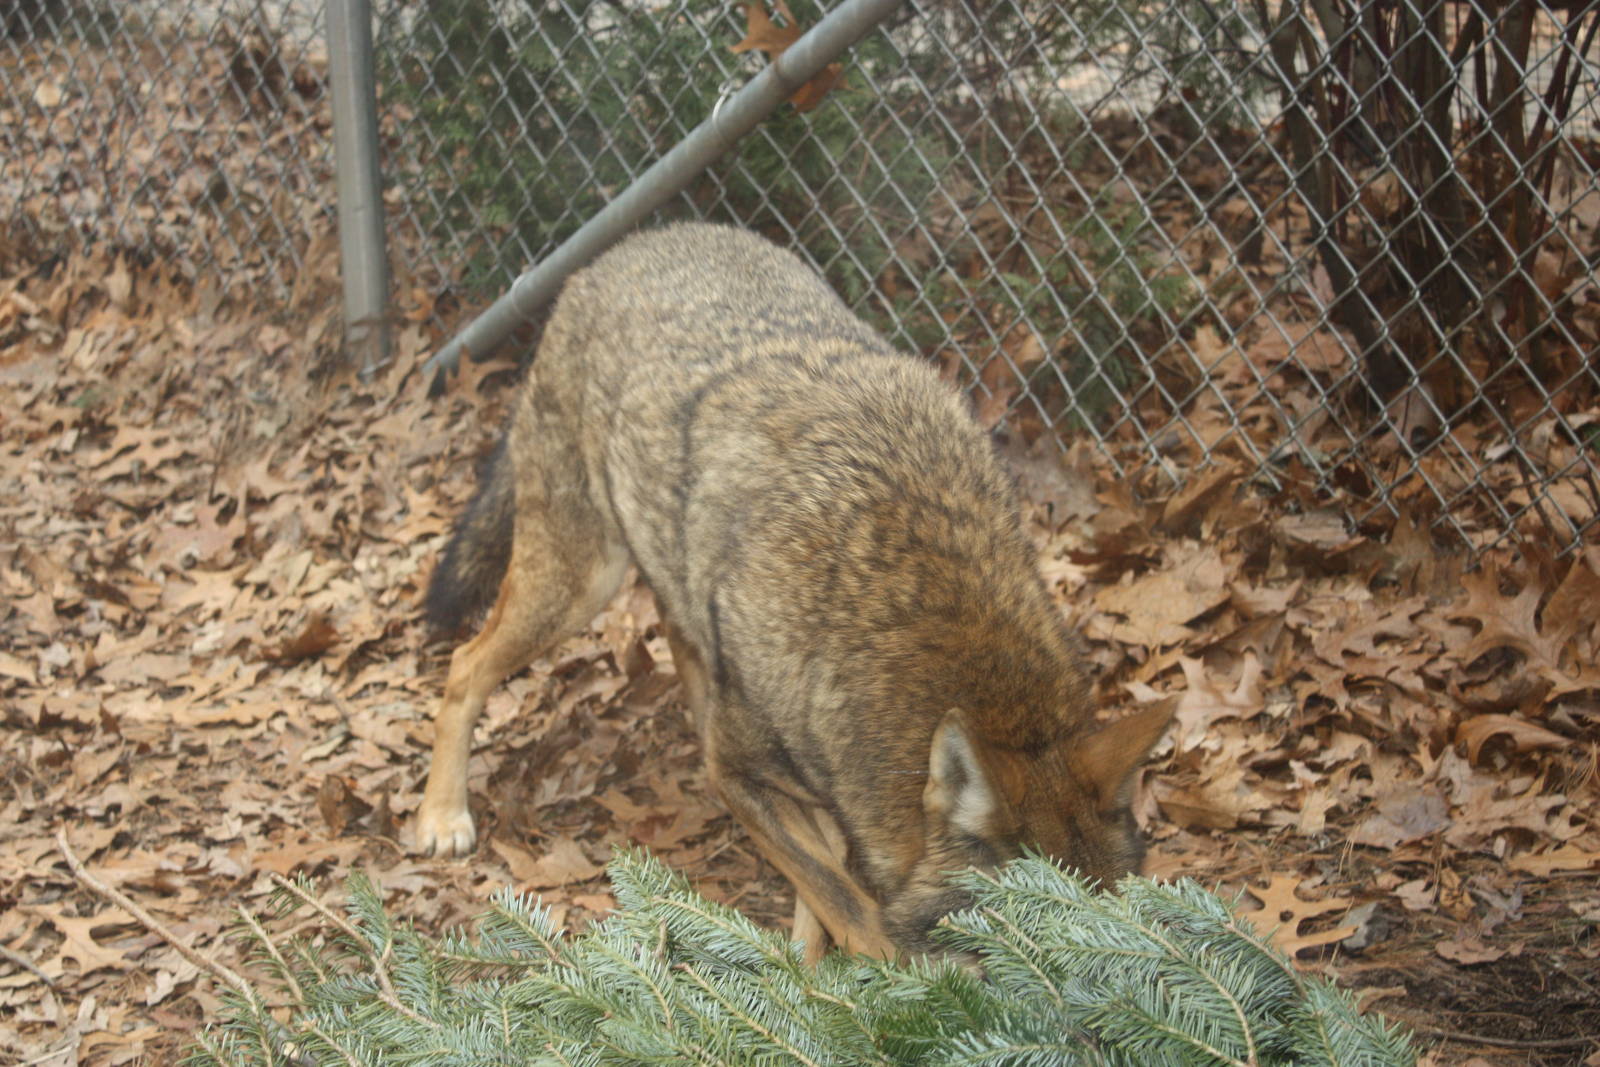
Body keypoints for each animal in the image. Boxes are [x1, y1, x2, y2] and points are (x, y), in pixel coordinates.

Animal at [416, 223, 1171, 959]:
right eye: (1039, 948)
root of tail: (605, 258)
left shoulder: (825, 798)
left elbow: (821, 903)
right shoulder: (742, 778)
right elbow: (852, 911)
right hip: (578, 584)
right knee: (465, 664)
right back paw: (441, 815)